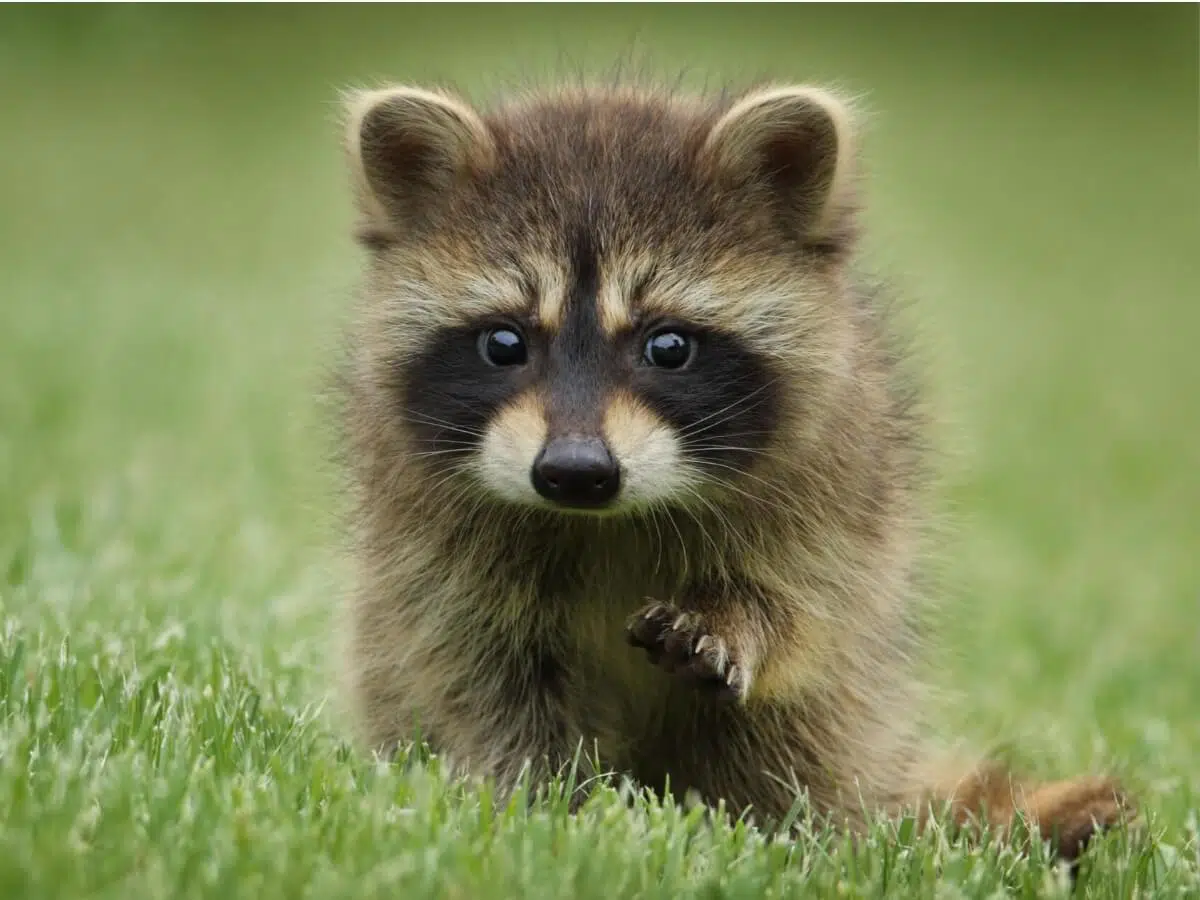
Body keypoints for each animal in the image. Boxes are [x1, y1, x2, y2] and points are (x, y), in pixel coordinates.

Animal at [333, 81, 1128, 864]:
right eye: (504, 343)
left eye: (669, 346)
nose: (575, 472)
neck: (608, 521)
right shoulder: (430, 537)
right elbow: (478, 670)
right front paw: (546, 803)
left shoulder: (838, 479)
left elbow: (805, 603)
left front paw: (738, 620)